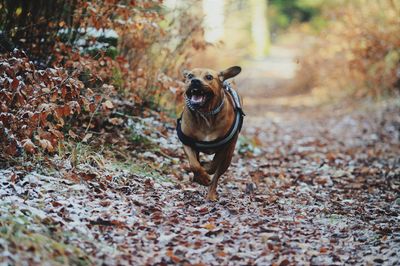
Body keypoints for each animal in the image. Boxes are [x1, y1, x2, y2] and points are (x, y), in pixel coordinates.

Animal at [177, 66, 244, 200]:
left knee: (217, 175)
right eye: (190, 76)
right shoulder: (187, 143)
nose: (195, 81)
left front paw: (206, 171)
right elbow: (194, 165)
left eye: (209, 77)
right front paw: (201, 177)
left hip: (229, 156)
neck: (205, 114)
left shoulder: (225, 147)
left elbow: (214, 165)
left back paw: (211, 195)